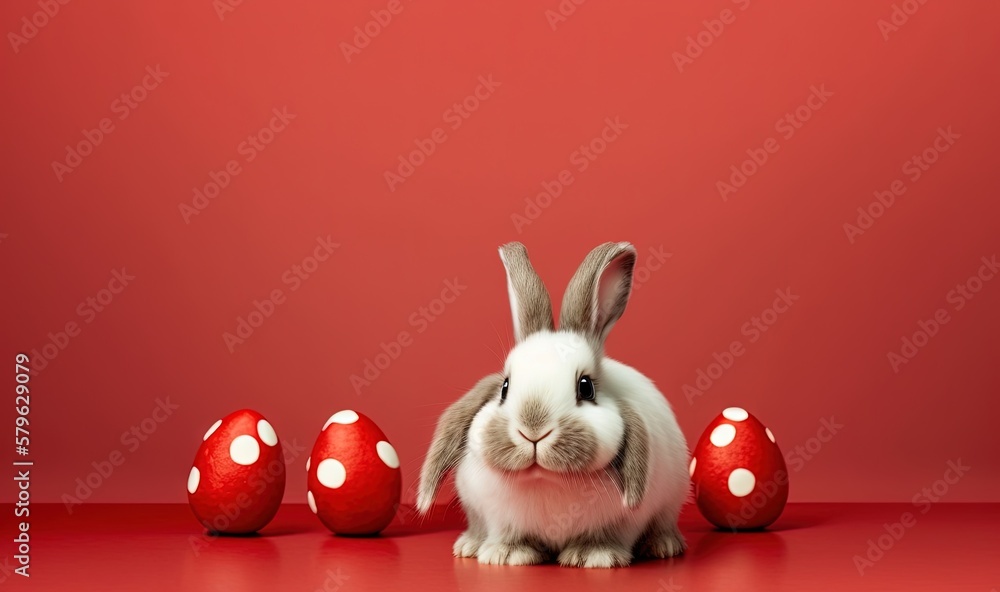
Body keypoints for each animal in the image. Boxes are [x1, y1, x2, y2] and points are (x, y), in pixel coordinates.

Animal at [418, 242, 692, 568]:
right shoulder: (498, 516)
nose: (533, 430)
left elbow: (608, 536)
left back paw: (663, 546)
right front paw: (507, 554)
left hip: (671, 501)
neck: (546, 481)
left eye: (586, 387)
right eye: (504, 388)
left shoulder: (625, 521)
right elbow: (508, 534)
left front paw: (593, 556)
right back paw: (469, 545)